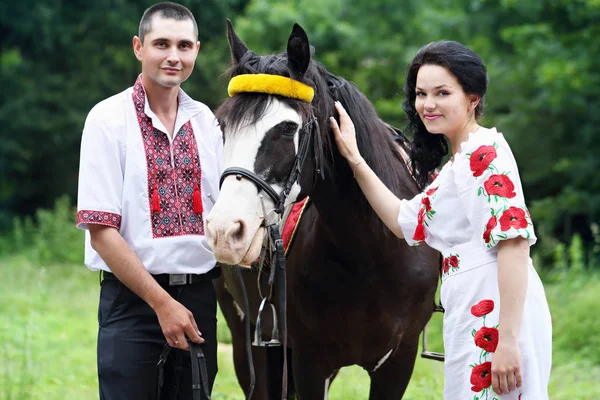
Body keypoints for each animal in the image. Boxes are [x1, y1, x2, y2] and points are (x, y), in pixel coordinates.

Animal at [209, 21, 438, 400]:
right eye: (223, 127)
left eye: (287, 128)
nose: (225, 231)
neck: (371, 255)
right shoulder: (310, 362)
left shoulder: (397, 363)